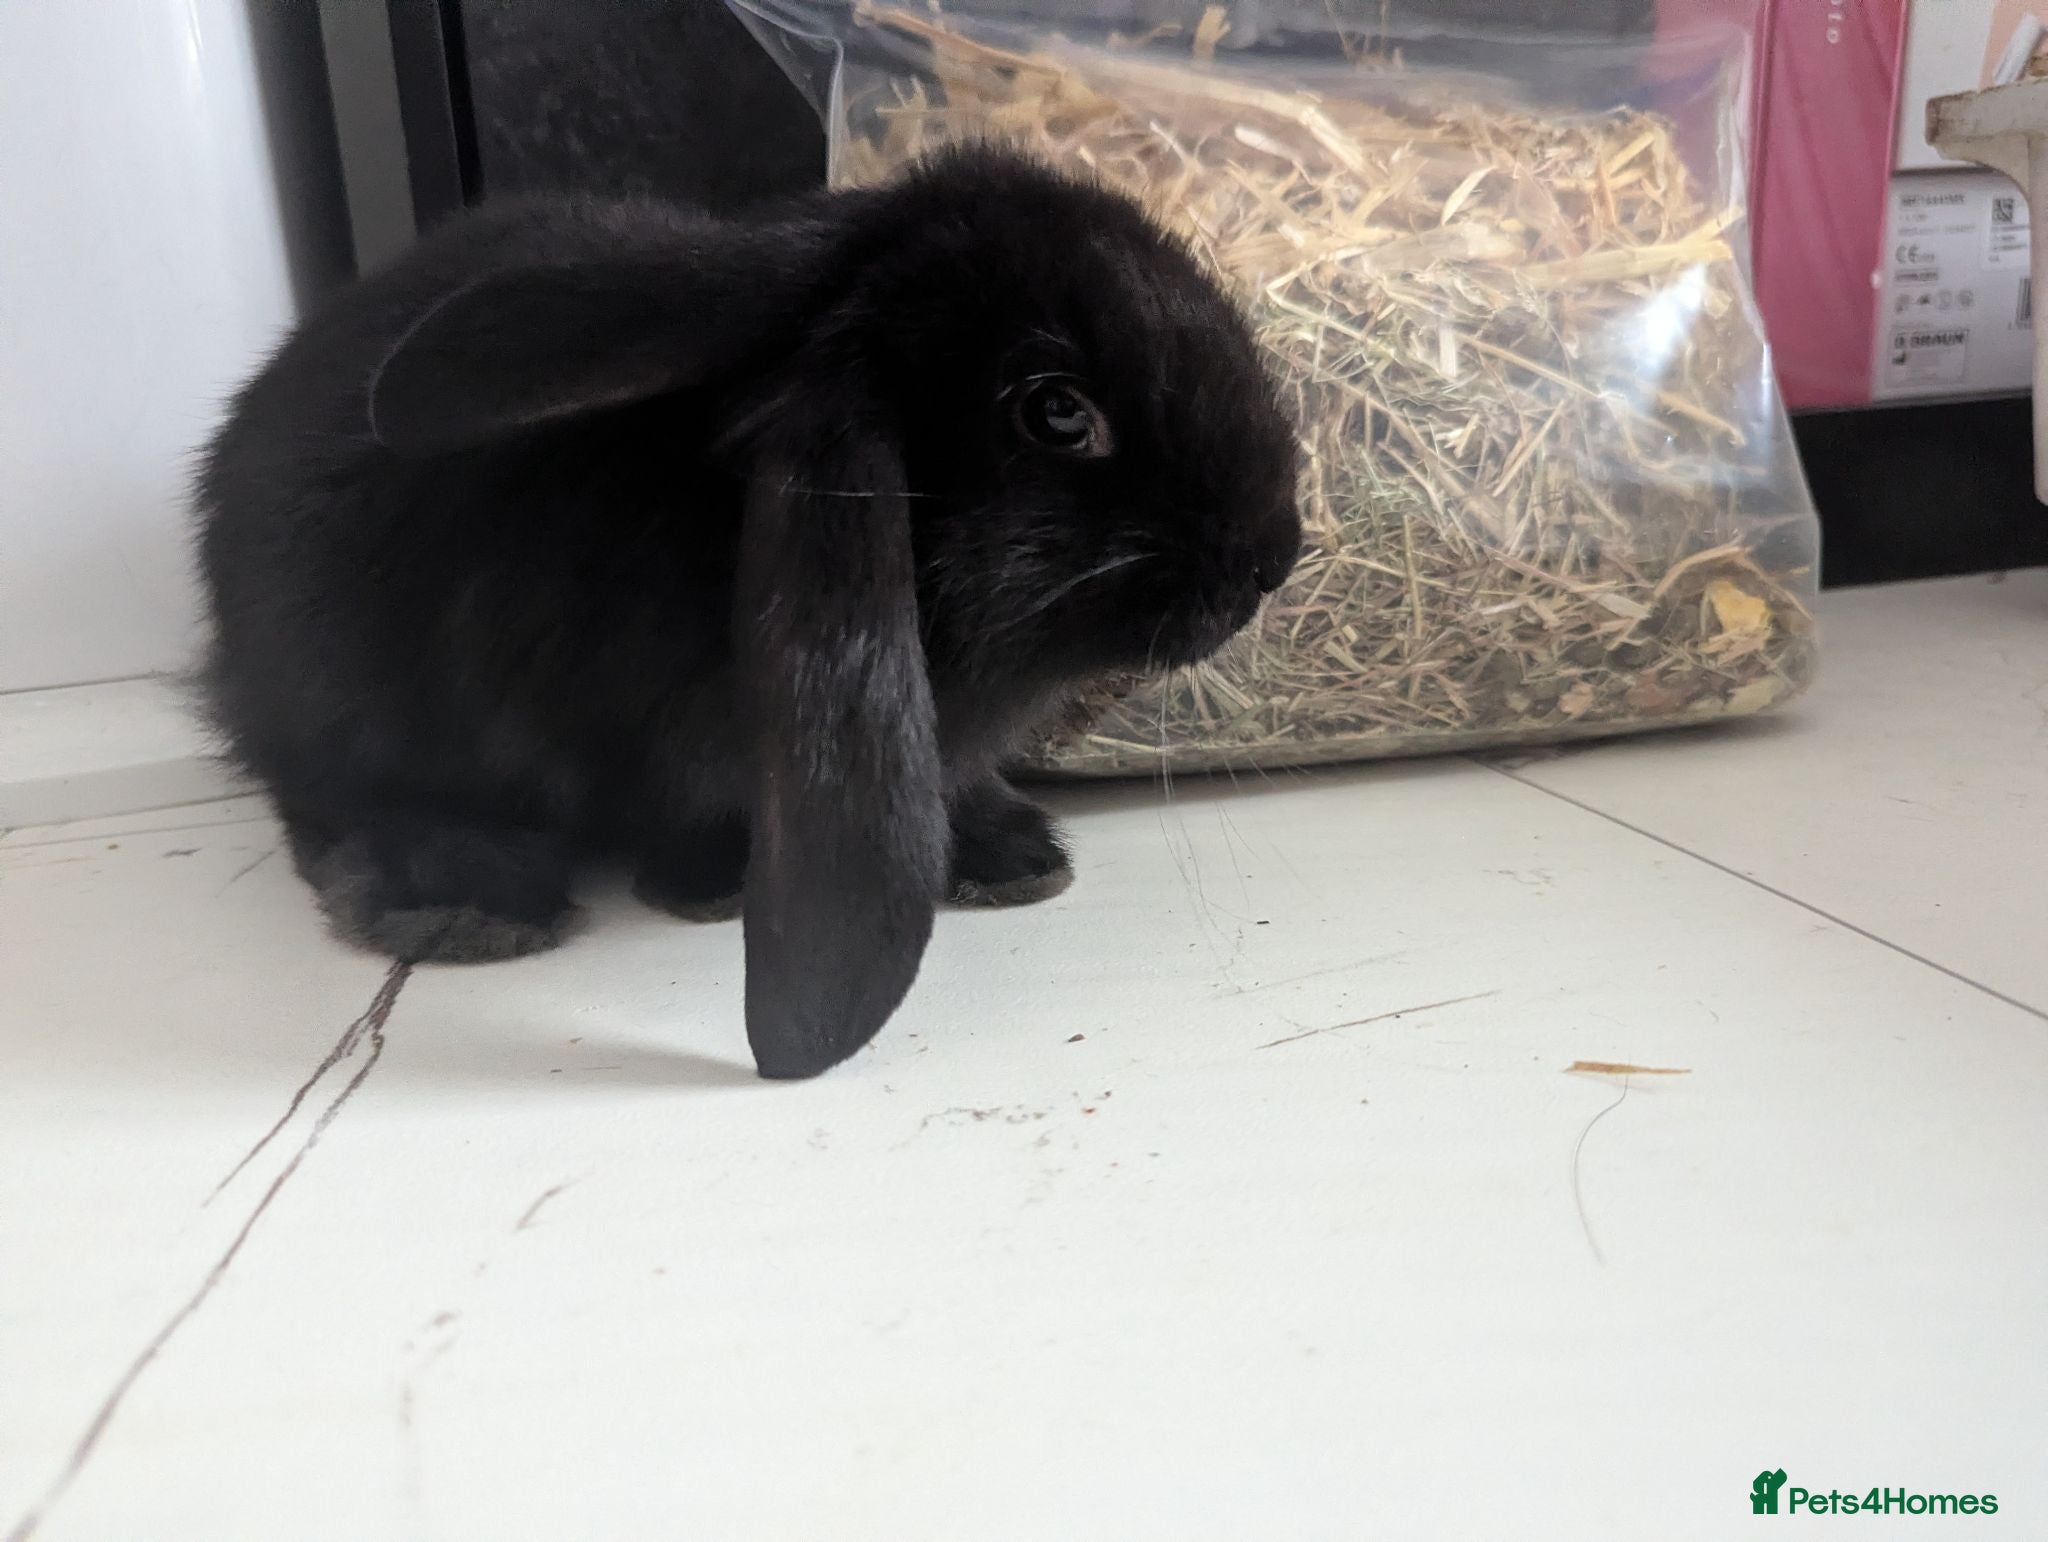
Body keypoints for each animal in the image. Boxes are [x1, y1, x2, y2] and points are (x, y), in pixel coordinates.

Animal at [194, 144, 1302, 1079]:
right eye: (1058, 413)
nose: (1274, 557)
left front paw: (1014, 858)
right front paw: (713, 888)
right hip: (344, 701)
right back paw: (471, 901)